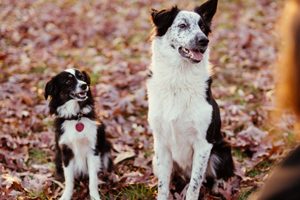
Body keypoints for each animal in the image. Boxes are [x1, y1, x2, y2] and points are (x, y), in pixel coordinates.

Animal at [45, 69, 112, 200]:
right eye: (68, 81)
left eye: (82, 78)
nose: (84, 85)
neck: (76, 117)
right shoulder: (66, 152)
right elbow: (69, 180)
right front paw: (66, 196)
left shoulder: (93, 151)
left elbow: (93, 180)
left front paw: (94, 197)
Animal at [147, 0, 234, 199]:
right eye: (183, 25)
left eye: (203, 27)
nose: (204, 41)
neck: (179, 80)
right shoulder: (161, 143)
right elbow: (163, 185)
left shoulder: (204, 145)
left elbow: (195, 184)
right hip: (155, 160)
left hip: (221, 151)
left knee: (214, 176)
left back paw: (219, 186)